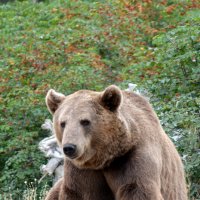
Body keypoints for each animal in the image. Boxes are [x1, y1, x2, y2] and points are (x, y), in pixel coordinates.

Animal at [44, 85, 188, 199]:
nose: (70, 147)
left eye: (85, 121)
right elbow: (78, 192)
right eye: (63, 123)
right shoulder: (82, 171)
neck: (104, 159)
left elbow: (137, 189)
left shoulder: (132, 157)